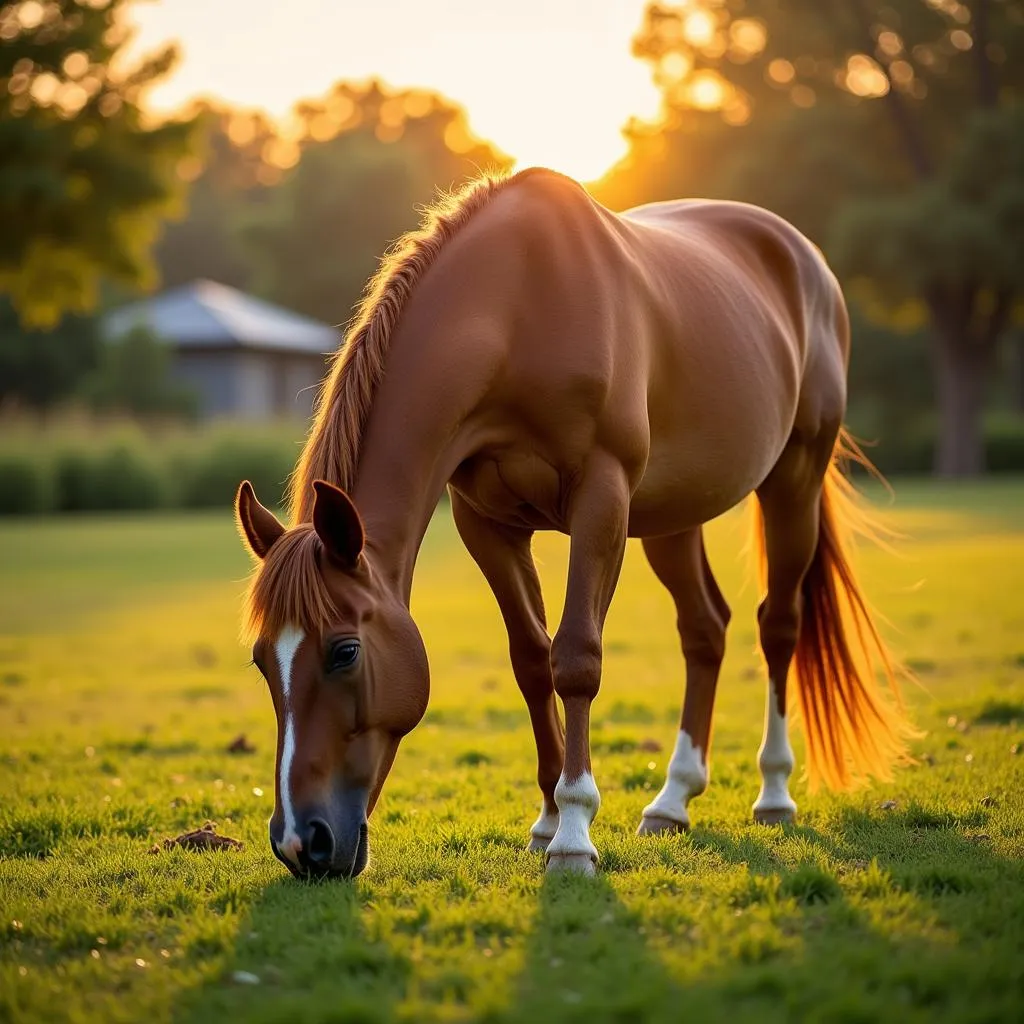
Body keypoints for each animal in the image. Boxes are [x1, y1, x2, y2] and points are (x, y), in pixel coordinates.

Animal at [235, 167, 917, 880]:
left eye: (345, 651)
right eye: (261, 660)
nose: (300, 842)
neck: (515, 311)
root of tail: (805, 259)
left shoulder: (601, 497)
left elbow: (577, 661)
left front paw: (574, 834)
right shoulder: (487, 523)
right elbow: (533, 661)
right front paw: (545, 820)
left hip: (794, 480)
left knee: (778, 625)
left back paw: (775, 792)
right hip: (672, 517)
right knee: (705, 629)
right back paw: (672, 800)